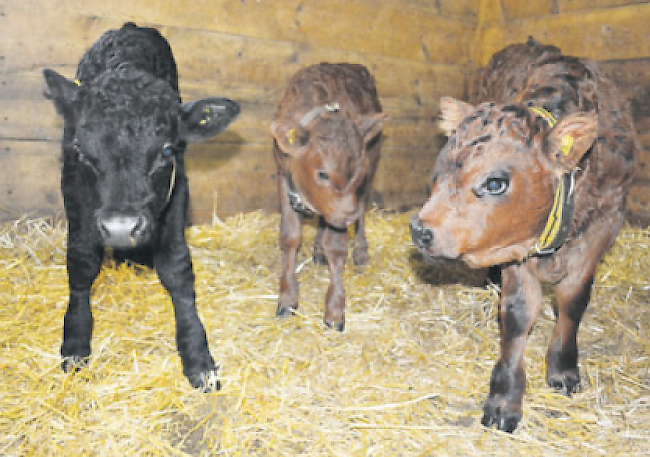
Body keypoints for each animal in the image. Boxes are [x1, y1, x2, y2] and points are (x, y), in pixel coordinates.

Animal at [270, 62, 384, 330]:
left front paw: (334, 311)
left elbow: (337, 247)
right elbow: (290, 238)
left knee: (362, 213)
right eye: (322, 173)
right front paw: (287, 299)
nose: (348, 215)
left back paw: (360, 251)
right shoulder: (283, 176)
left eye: (359, 172)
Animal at [408, 39, 636, 432]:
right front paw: (504, 400)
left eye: (495, 183)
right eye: (438, 173)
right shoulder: (514, 247)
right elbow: (517, 312)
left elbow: (573, 300)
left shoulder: (605, 224)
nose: (420, 229)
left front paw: (563, 370)